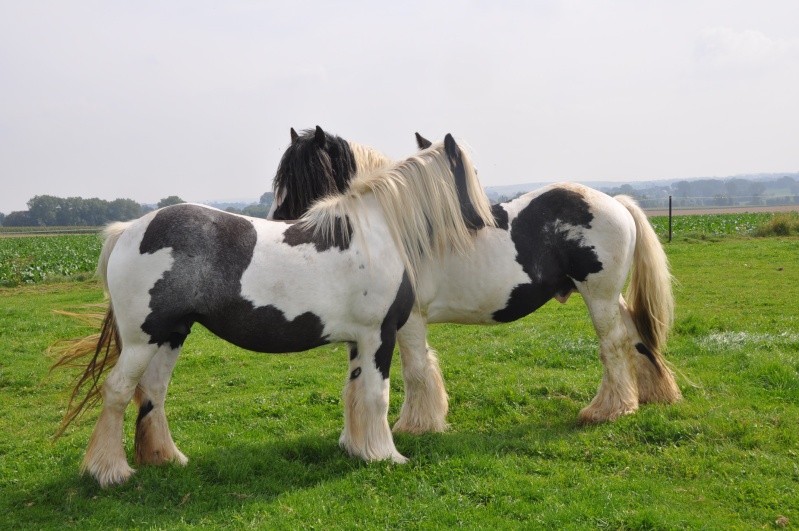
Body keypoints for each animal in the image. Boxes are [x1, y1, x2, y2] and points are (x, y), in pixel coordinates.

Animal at [51, 135, 494, 488]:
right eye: (471, 175)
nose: (485, 220)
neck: (376, 232)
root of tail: (128, 230)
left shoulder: (359, 341)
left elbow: (355, 394)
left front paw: (358, 449)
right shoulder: (377, 335)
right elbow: (376, 395)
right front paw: (385, 454)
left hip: (171, 336)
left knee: (153, 392)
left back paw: (167, 458)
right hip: (142, 340)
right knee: (117, 391)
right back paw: (110, 471)